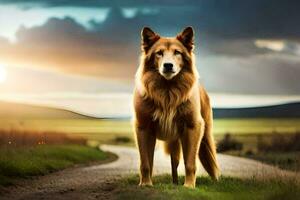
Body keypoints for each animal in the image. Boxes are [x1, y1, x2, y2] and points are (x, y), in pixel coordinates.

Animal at [134, 26, 220, 188]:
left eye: (177, 53)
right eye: (159, 53)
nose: (168, 65)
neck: (167, 90)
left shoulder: (193, 127)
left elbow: (190, 163)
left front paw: (189, 186)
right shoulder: (143, 127)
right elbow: (146, 162)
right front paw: (146, 184)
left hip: (204, 139)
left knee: (210, 162)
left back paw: (215, 181)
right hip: (174, 142)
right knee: (174, 163)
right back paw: (174, 183)